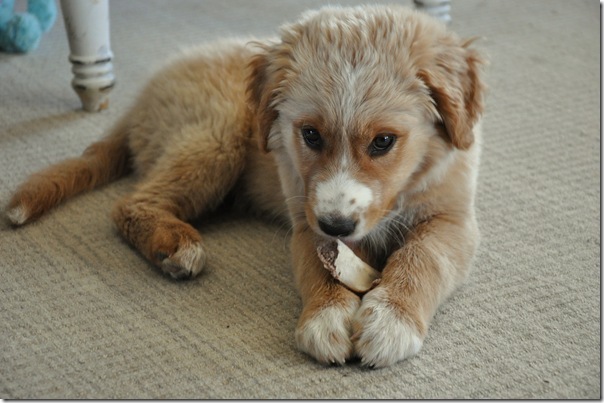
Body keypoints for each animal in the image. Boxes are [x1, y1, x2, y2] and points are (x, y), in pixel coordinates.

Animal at [4, 3, 486, 370]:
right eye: (310, 135)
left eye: (384, 142)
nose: (336, 225)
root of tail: (144, 95)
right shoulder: (305, 216)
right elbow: (319, 267)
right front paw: (325, 318)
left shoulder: (452, 219)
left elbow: (421, 259)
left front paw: (390, 321)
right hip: (217, 141)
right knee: (130, 203)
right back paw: (174, 243)